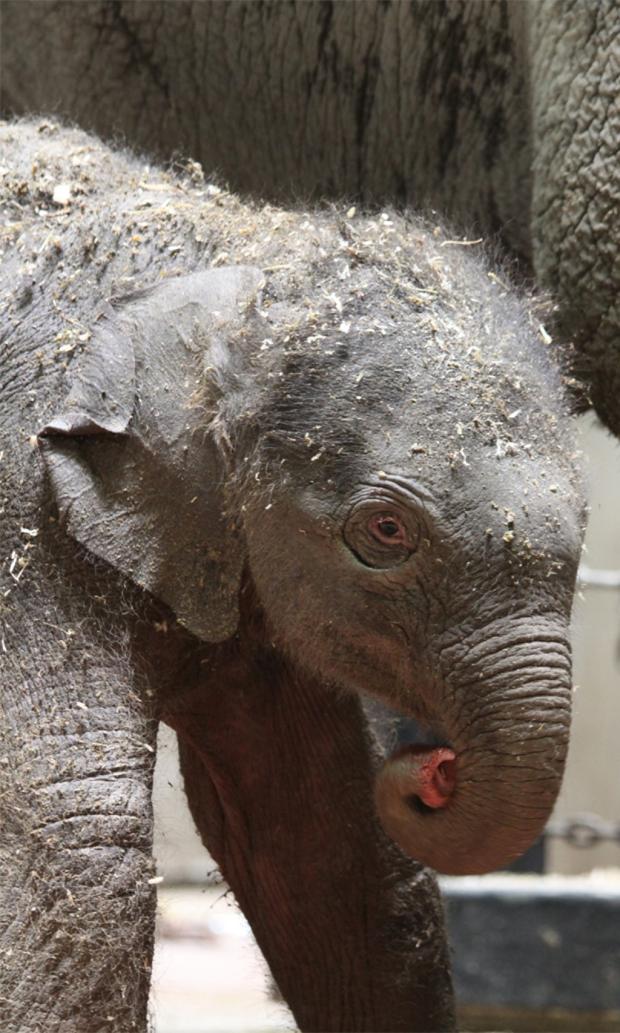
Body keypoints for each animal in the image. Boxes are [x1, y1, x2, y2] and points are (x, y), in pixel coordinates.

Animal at [0, 118, 584, 1032]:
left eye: (585, 517)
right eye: (385, 531)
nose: (433, 764)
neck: (236, 254)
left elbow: (328, 847)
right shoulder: (31, 520)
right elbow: (81, 843)